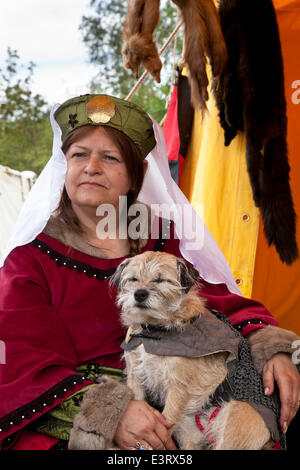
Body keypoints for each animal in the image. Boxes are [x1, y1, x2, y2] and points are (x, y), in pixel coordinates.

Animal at [112, 252, 282, 450]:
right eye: (133, 279)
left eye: (161, 280)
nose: (139, 293)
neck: (154, 332)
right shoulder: (136, 375)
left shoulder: (178, 387)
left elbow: (166, 419)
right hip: (187, 432)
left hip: (233, 421)